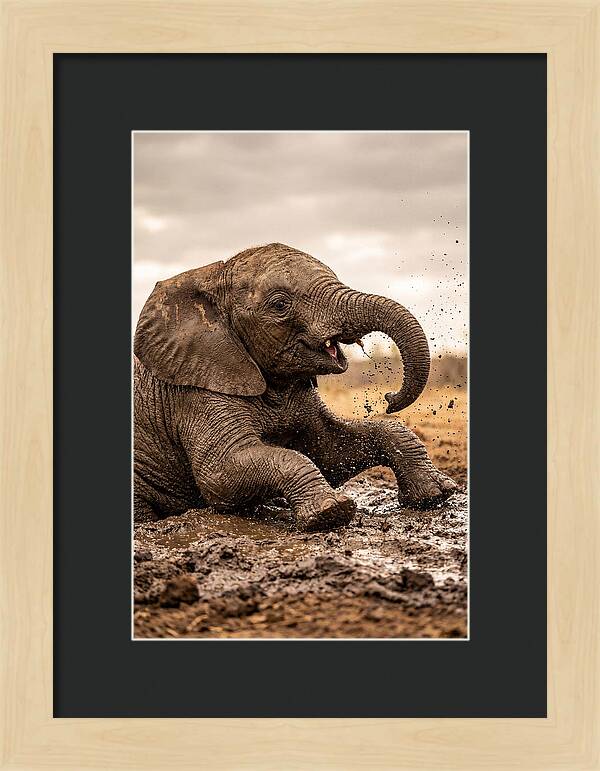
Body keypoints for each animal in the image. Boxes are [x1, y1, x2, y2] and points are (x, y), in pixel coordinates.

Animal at [133, 243, 457, 530]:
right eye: (280, 305)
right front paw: (331, 512)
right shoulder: (196, 392)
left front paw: (436, 494)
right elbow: (220, 475)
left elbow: (330, 451)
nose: (389, 398)